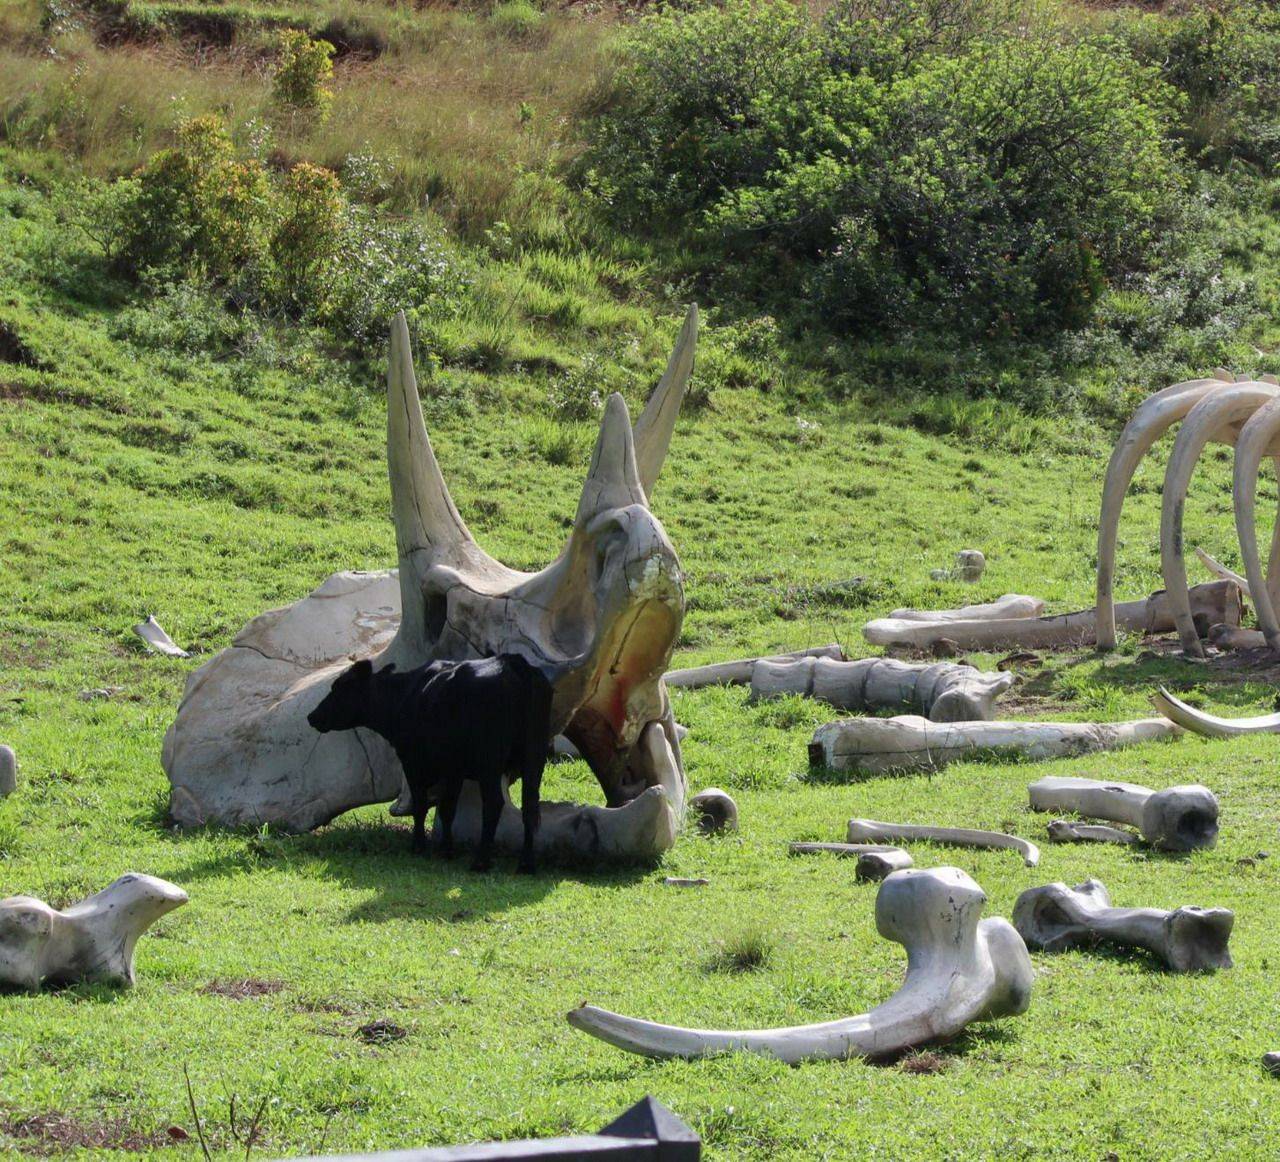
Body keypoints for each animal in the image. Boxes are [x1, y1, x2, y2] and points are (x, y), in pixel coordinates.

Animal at [309, 652, 555, 870]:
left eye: (339, 688)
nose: (312, 716)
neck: (402, 697)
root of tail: (512, 662)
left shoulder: (412, 762)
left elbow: (420, 805)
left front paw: (419, 846)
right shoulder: (454, 769)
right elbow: (447, 809)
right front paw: (447, 849)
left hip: (490, 764)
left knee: (494, 803)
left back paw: (481, 861)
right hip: (534, 756)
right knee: (530, 806)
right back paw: (526, 863)